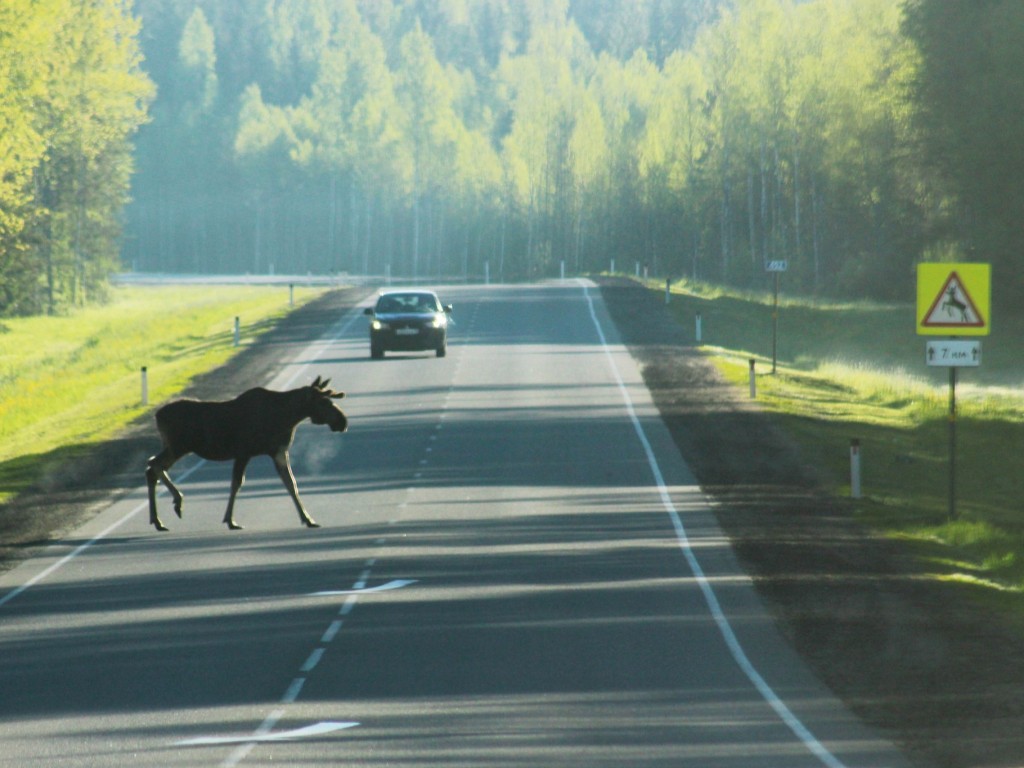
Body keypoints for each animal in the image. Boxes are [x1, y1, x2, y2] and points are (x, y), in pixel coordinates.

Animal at [145, 376, 348, 532]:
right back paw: (175, 503)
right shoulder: (244, 452)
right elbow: (237, 484)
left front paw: (308, 519)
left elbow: (291, 484)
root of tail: (156, 415)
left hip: (174, 447)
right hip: (178, 447)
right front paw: (230, 520)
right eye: (323, 402)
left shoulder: (278, 452)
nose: (343, 421)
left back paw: (159, 519)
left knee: (152, 468)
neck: (287, 417)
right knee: (153, 465)